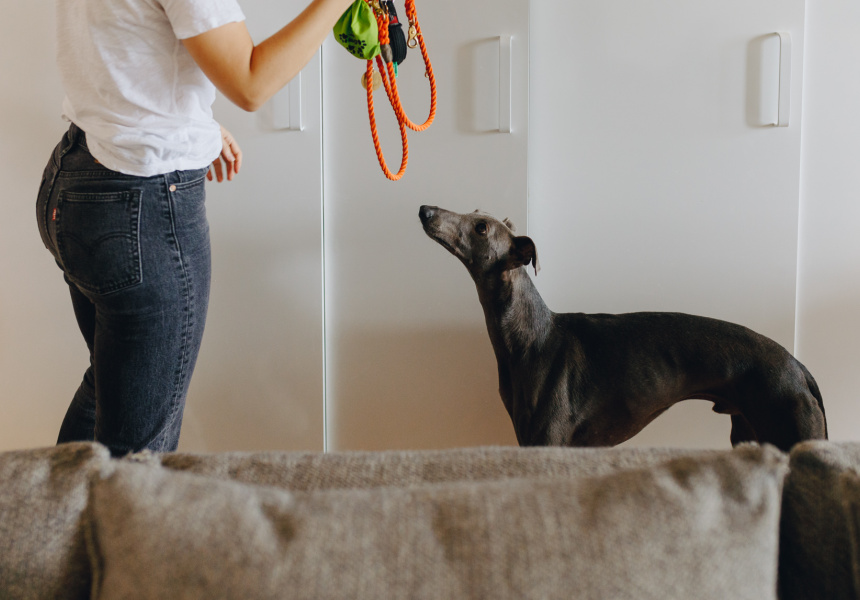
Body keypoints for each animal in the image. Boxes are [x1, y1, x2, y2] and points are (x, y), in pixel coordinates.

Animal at [419, 205, 828, 451]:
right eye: (476, 213)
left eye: (481, 227)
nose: (426, 210)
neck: (531, 337)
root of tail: (798, 367)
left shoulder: (546, 443)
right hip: (749, 436)